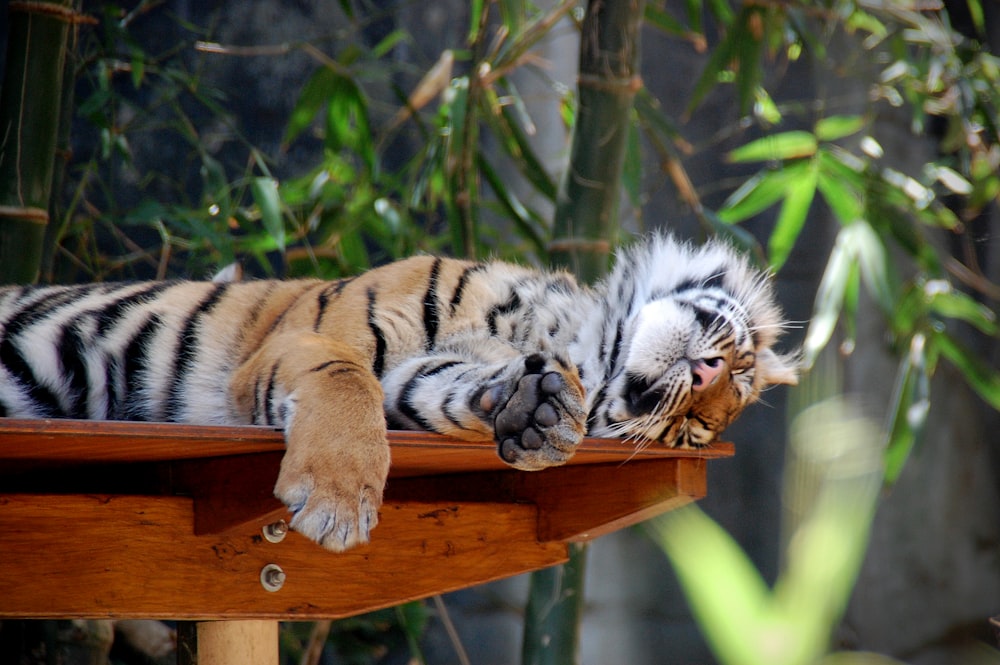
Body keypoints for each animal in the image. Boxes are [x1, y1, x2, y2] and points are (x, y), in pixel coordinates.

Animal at [0, 233, 796, 548]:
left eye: (689, 434)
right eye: (737, 364)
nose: (706, 379)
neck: (558, 332)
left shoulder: (416, 383)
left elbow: (445, 389)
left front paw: (538, 412)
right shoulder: (305, 340)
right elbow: (345, 379)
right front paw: (337, 505)